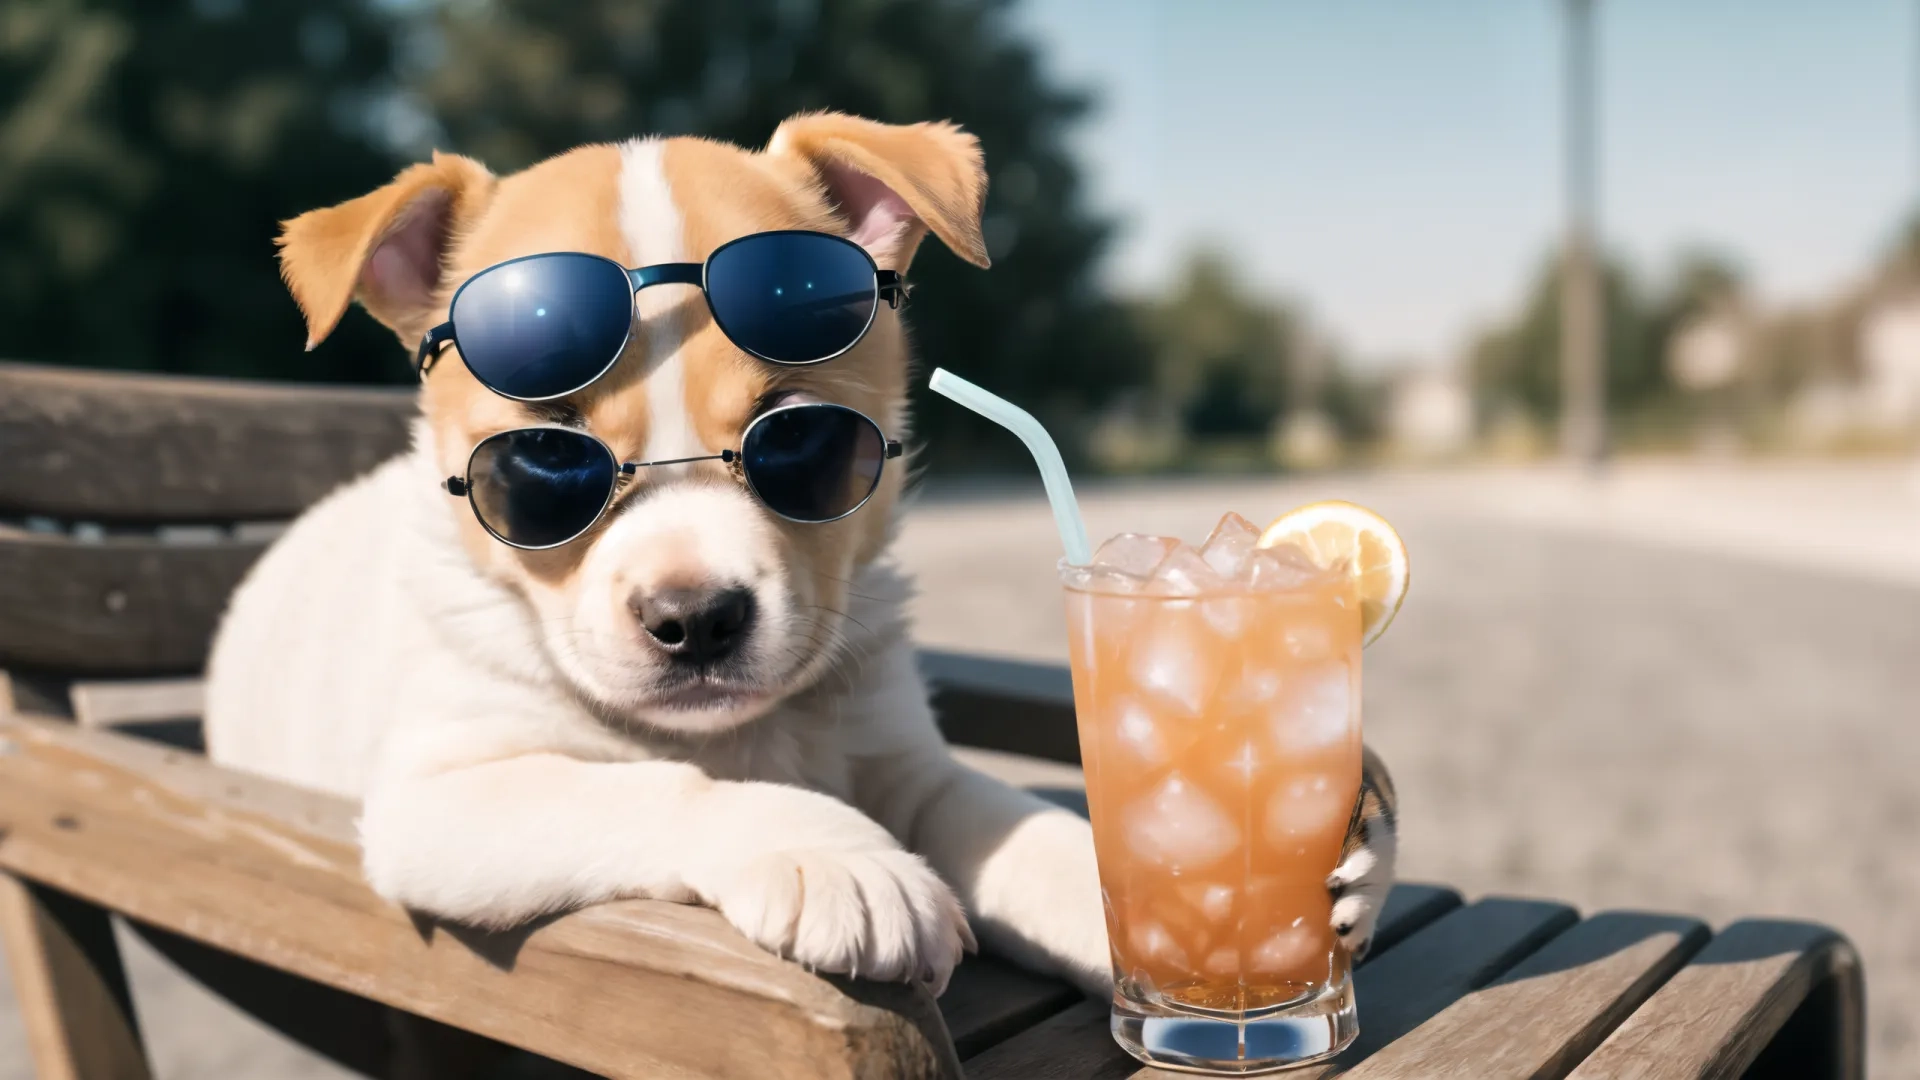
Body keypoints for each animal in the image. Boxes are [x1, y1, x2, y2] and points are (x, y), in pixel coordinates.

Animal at [206, 113, 1397, 999]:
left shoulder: (908, 763)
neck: (755, 731)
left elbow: (1020, 824)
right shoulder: (442, 796)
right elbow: (653, 786)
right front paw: (839, 857)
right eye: (543, 459)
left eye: (805, 442)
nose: (694, 619)